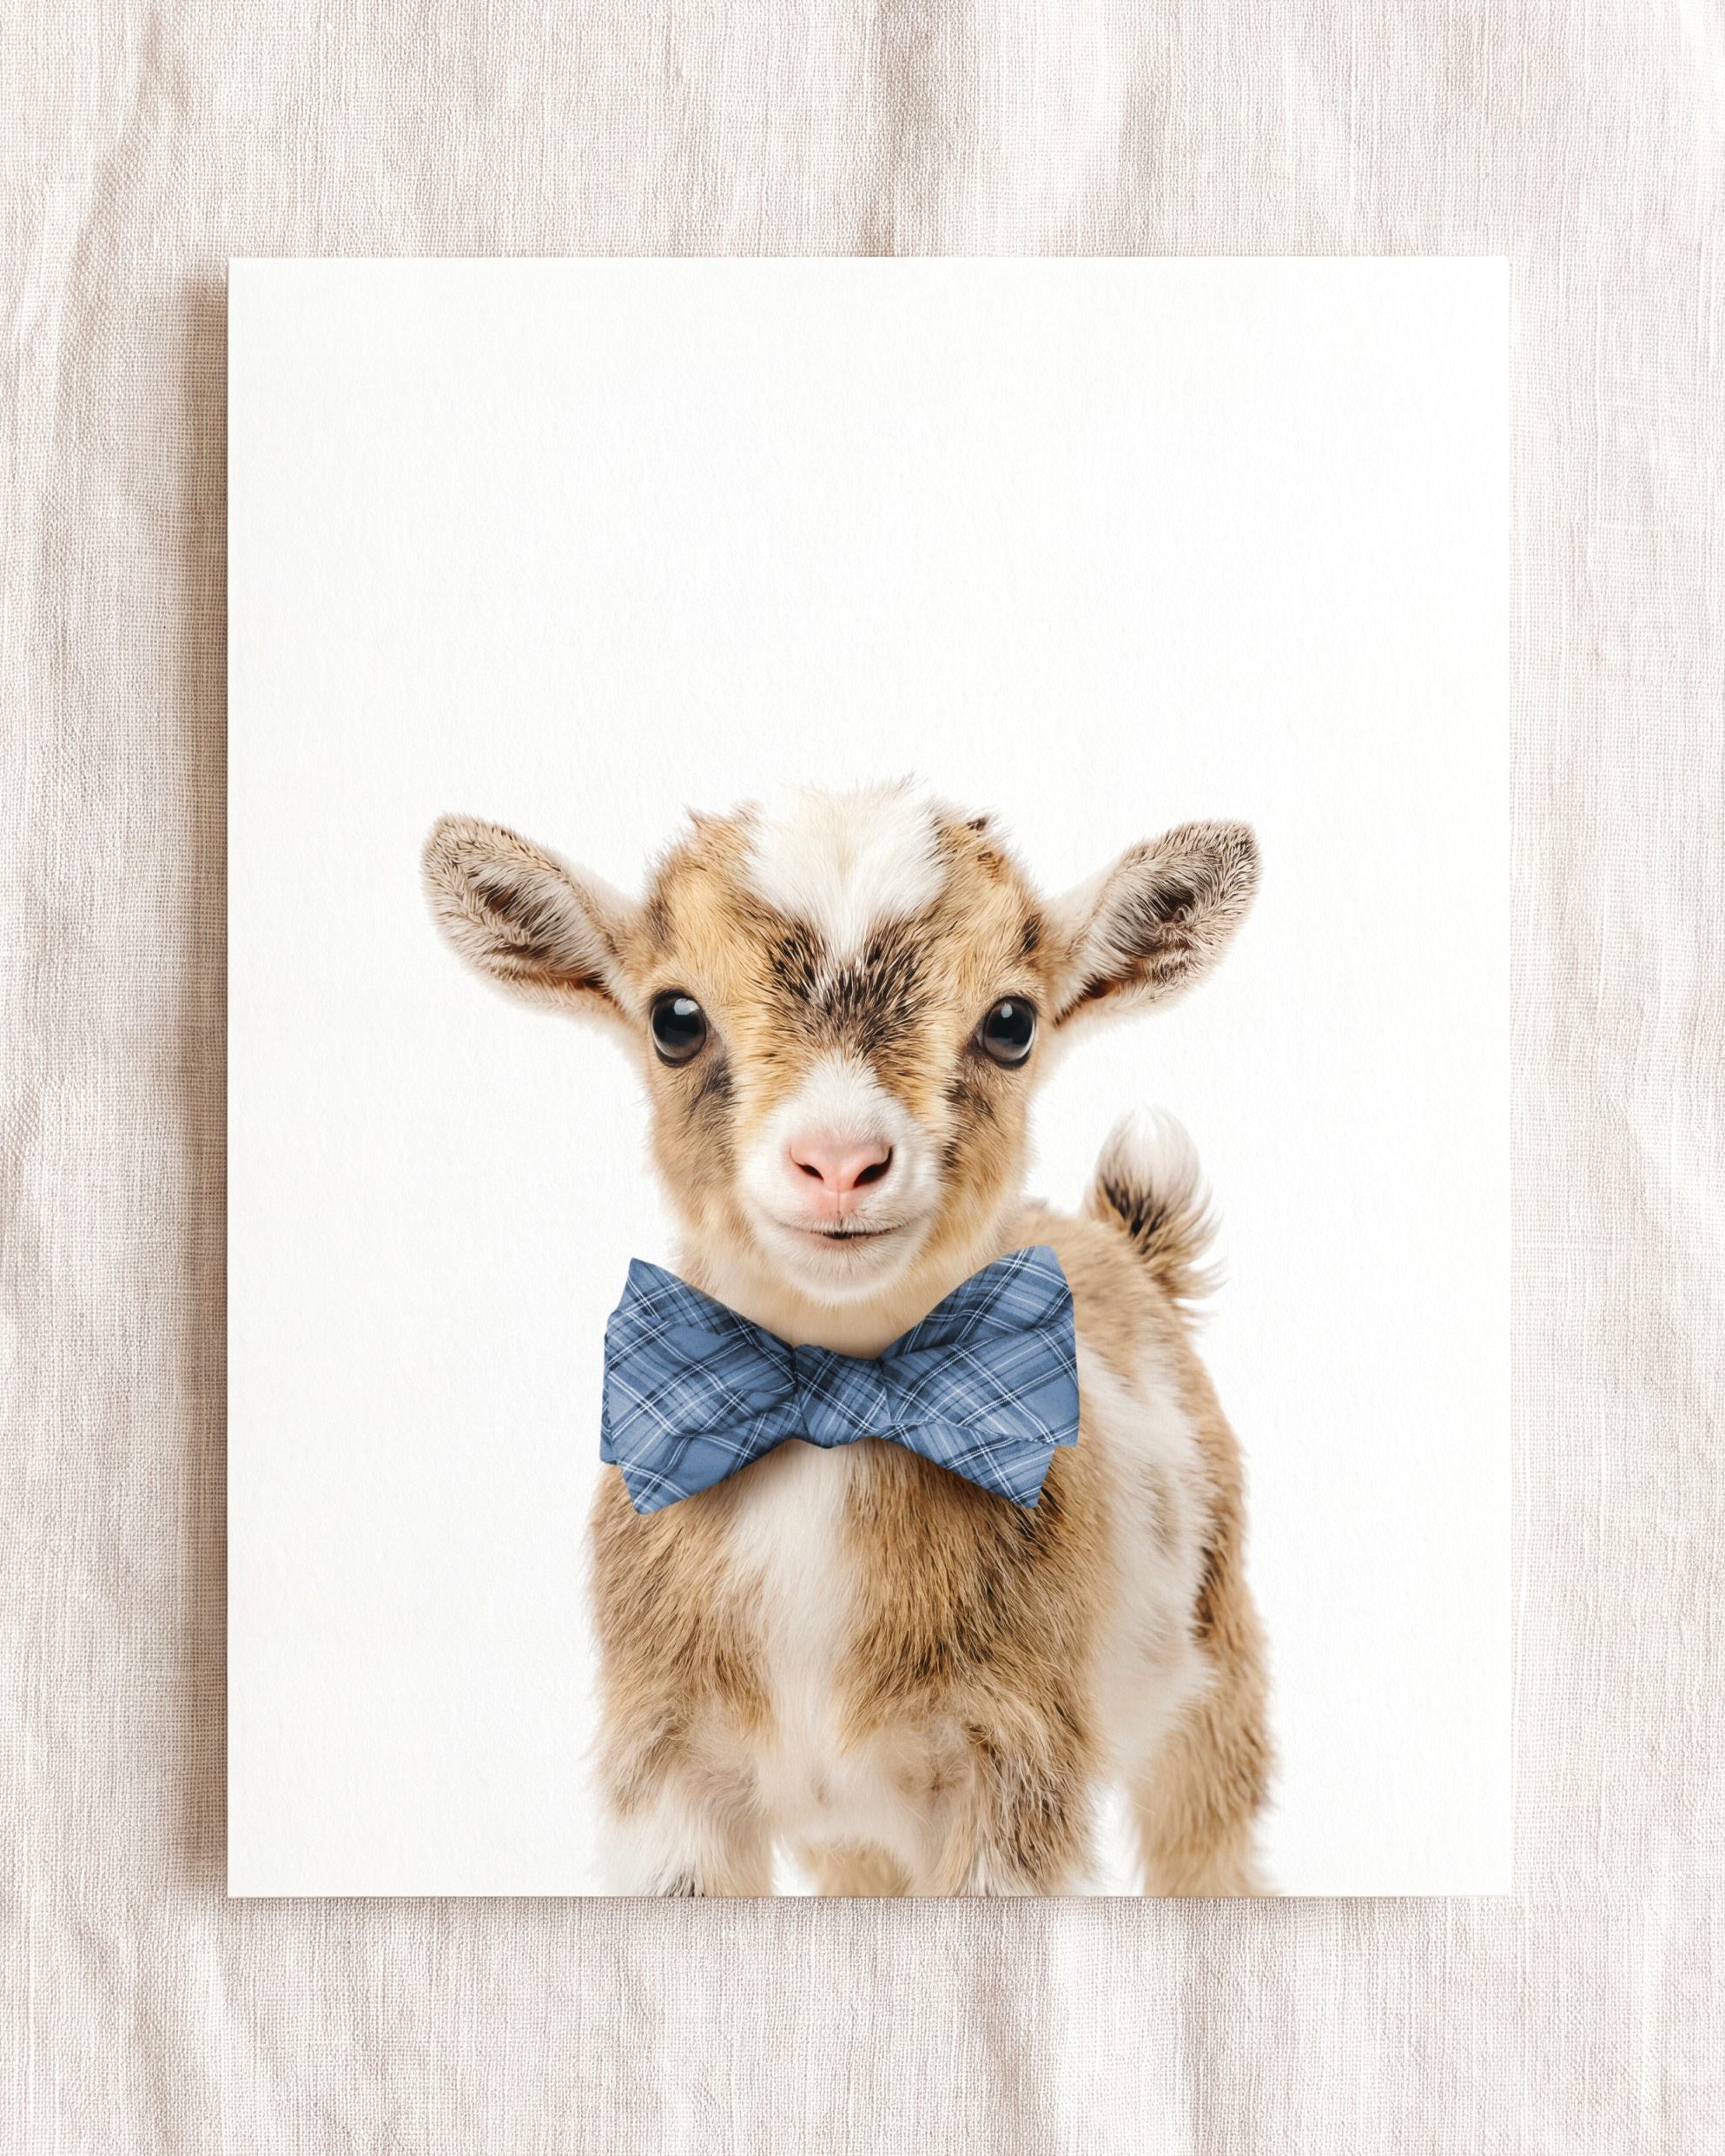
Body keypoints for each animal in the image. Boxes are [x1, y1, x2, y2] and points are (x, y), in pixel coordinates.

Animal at [423, 782, 1270, 1894]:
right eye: (674, 1018)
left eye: (1011, 1022)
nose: (838, 1161)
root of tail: (1126, 1244)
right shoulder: (666, 1768)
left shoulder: (1015, 1760)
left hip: (1216, 1671)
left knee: (1209, 1840)